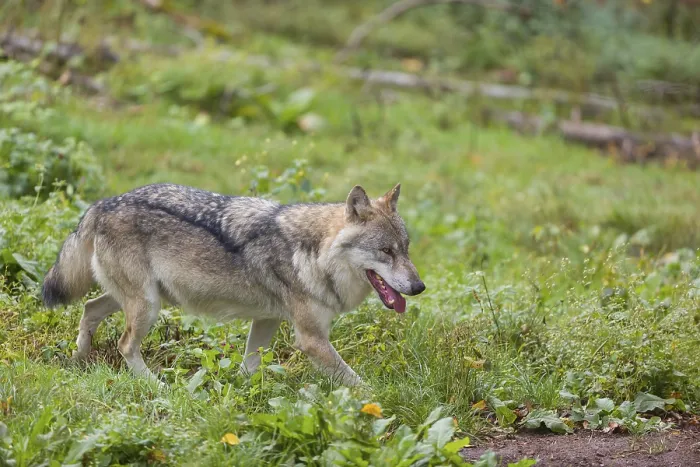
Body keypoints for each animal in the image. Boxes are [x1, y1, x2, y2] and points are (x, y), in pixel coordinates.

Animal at [41, 183, 425, 386]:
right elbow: (360, 385)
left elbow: (249, 367)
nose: (419, 286)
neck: (313, 253)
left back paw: (79, 360)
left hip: (141, 300)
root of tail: (102, 204)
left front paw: (241, 394)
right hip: (147, 307)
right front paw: (383, 406)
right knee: (123, 345)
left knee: (89, 309)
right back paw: (158, 386)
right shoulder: (311, 340)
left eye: (406, 249)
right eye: (386, 251)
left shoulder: (267, 320)